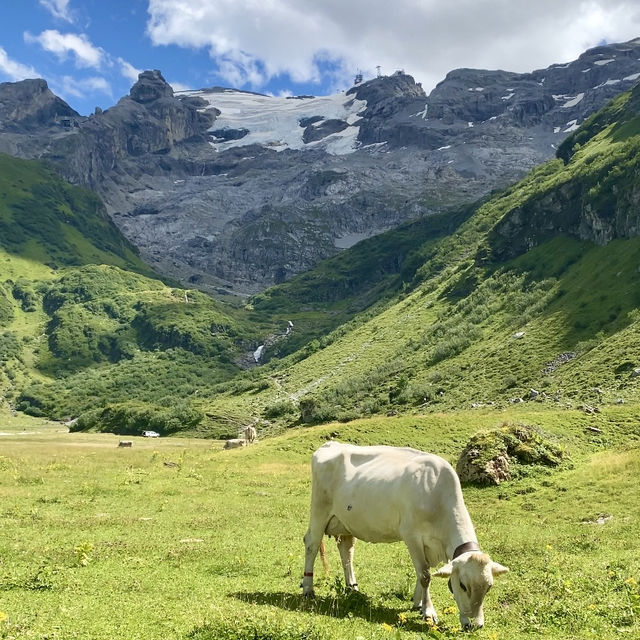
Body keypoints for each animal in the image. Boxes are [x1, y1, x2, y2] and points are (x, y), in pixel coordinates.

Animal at [302, 442, 510, 628]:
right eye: (463, 585)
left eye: (488, 587)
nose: (475, 626)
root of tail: (330, 444)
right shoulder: (412, 536)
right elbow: (425, 575)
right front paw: (428, 612)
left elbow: (422, 573)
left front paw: (418, 604)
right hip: (319, 510)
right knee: (311, 544)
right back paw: (308, 589)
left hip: (346, 521)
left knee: (346, 550)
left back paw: (352, 587)